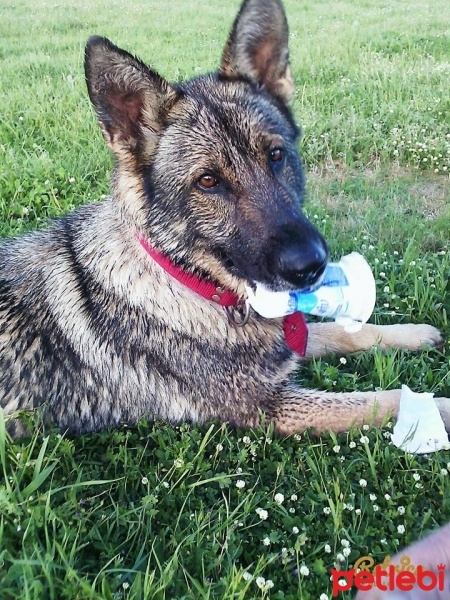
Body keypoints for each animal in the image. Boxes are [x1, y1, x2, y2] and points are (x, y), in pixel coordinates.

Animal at [0, 0, 448, 436]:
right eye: (208, 181)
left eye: (276, 155)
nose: (311, 266)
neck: (188, 280)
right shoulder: (271, 407)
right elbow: (383, 401)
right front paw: (435, 406)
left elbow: (343, 329)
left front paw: (411, 333)